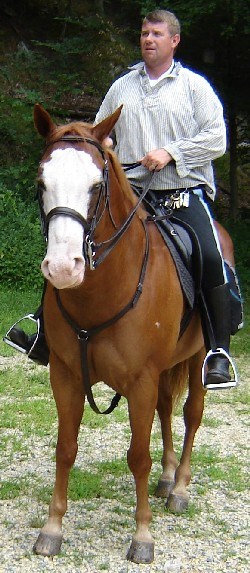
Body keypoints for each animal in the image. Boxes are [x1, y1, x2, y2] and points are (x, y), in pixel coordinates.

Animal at [30, 104, 234, 564]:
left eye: (96, 185)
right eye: (41, 183)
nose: (63, 268)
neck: (103, 292)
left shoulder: (140, 379)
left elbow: (138, 455)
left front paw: (142, 536)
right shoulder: (65, 375)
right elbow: (65, 448)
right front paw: (52, 528)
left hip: (196, 360)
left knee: (191, 414)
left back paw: (179, 488)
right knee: (166, 410)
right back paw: (168, 476)